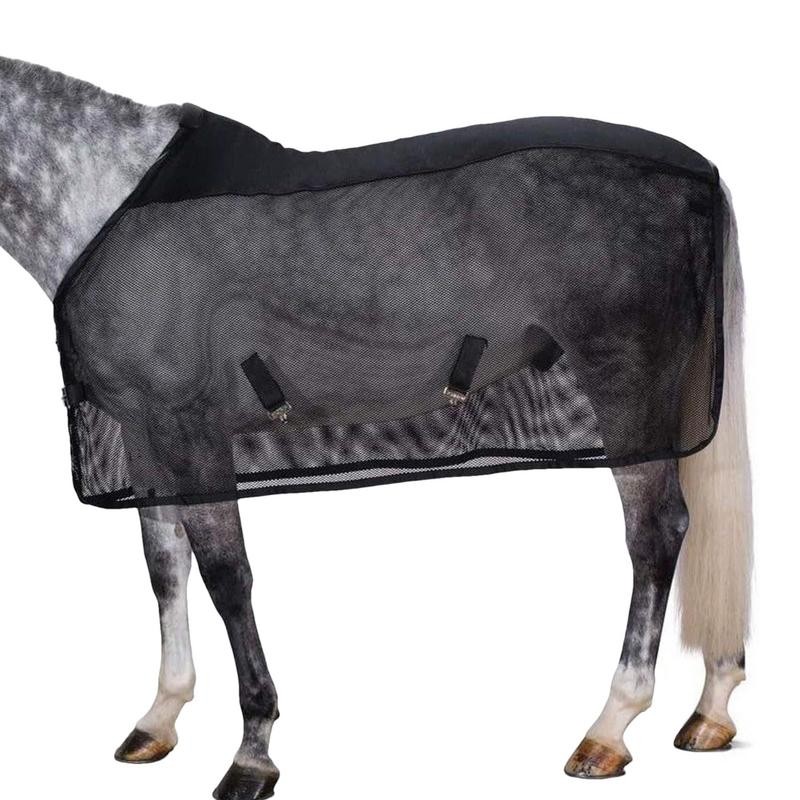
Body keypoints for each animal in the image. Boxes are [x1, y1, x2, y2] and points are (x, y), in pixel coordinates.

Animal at [0, 56, 752, 800]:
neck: (104, 196)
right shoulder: (146, 433)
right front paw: (159, 716)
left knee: (656, 533)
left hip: (627, 385)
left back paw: (610, 726)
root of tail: (700, 175)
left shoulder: (191, 429)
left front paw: (252, 753)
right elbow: (165, 568)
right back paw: (709, 712)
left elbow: (226, 577)